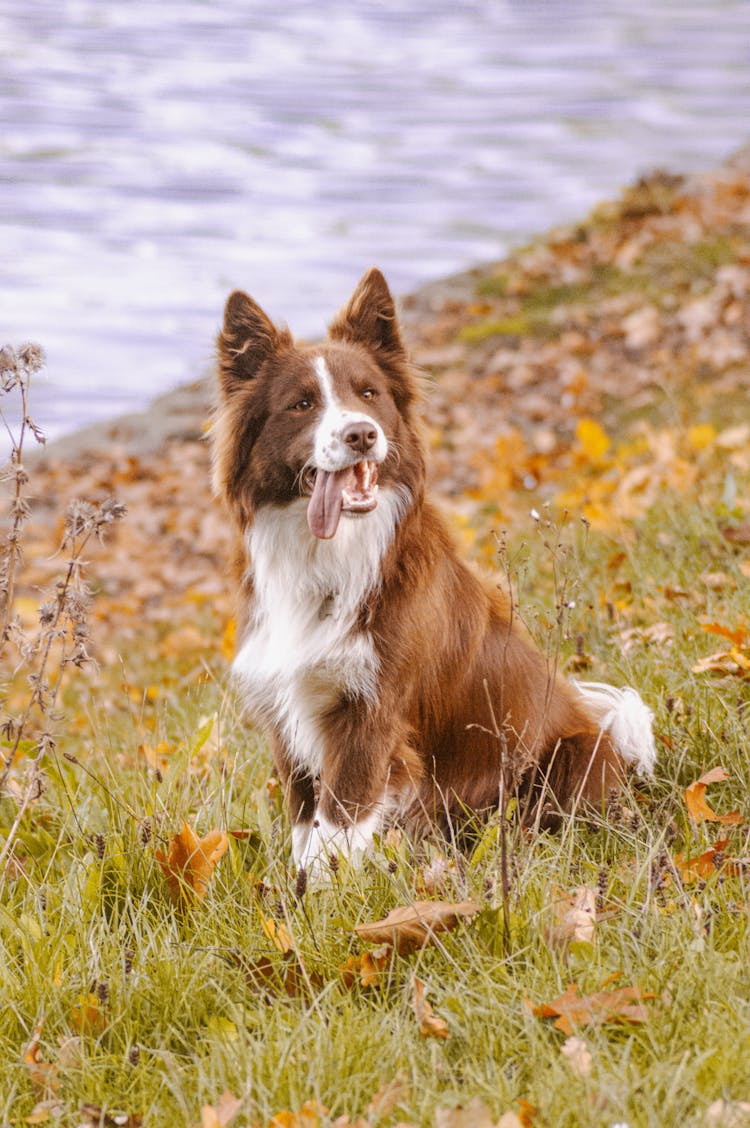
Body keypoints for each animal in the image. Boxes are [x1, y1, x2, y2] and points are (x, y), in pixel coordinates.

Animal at [212, 266, 654, 870]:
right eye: (301, 404)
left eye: (368, 394)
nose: (361, 433)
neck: (327, 557)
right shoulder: (287, 709)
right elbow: (305, 823)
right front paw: (291, 887)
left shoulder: (371, 714)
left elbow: (338, 825)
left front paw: (324, 892)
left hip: (577, 752)